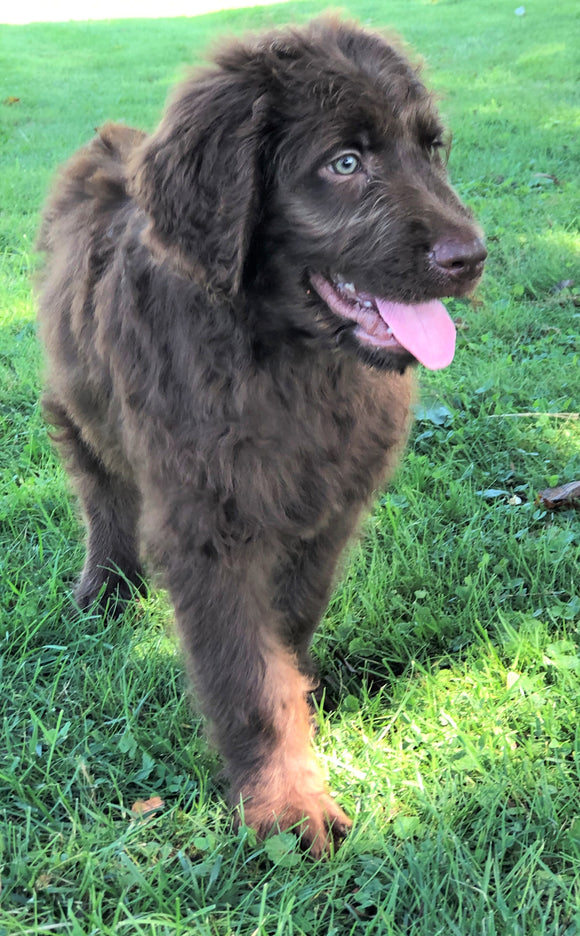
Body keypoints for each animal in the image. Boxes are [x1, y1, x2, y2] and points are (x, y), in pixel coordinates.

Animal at [37, 18, 484, 856]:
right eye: (345, 163)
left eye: (432, 149)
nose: (471, 258)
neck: (286, 360)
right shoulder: (207, 523)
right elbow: (246, 672)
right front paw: (286, 804)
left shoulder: (327, 508)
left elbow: (289, 625)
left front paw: (303, 697)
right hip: (76, 404)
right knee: (102, 492)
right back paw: (105, 587)